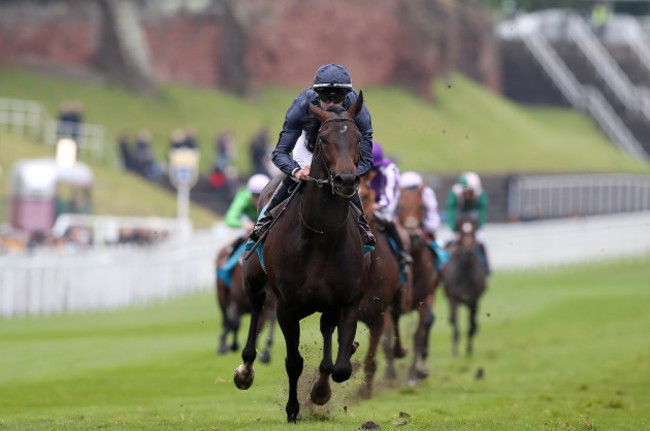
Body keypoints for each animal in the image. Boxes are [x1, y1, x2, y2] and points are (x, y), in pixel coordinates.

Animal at [233, 93, 368, 422]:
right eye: (323, 139)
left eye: (358, 138)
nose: (346, 180)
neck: (321, 236)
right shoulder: (287, 306)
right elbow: (293, 362)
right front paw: (293, 410)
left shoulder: (346, 300)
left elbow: (339, 367)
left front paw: (320, 392)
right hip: (254, 276)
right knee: (256, 307)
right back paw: (245, 369)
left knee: (328, 335)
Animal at [442, 213, 484, 358]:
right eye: (461, 230)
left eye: (473, 231)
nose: (467, 251)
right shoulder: (454, 298)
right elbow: (456, 326)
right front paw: (455, 352)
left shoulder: (473, 300)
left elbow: (471, 326)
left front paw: (469, 350)